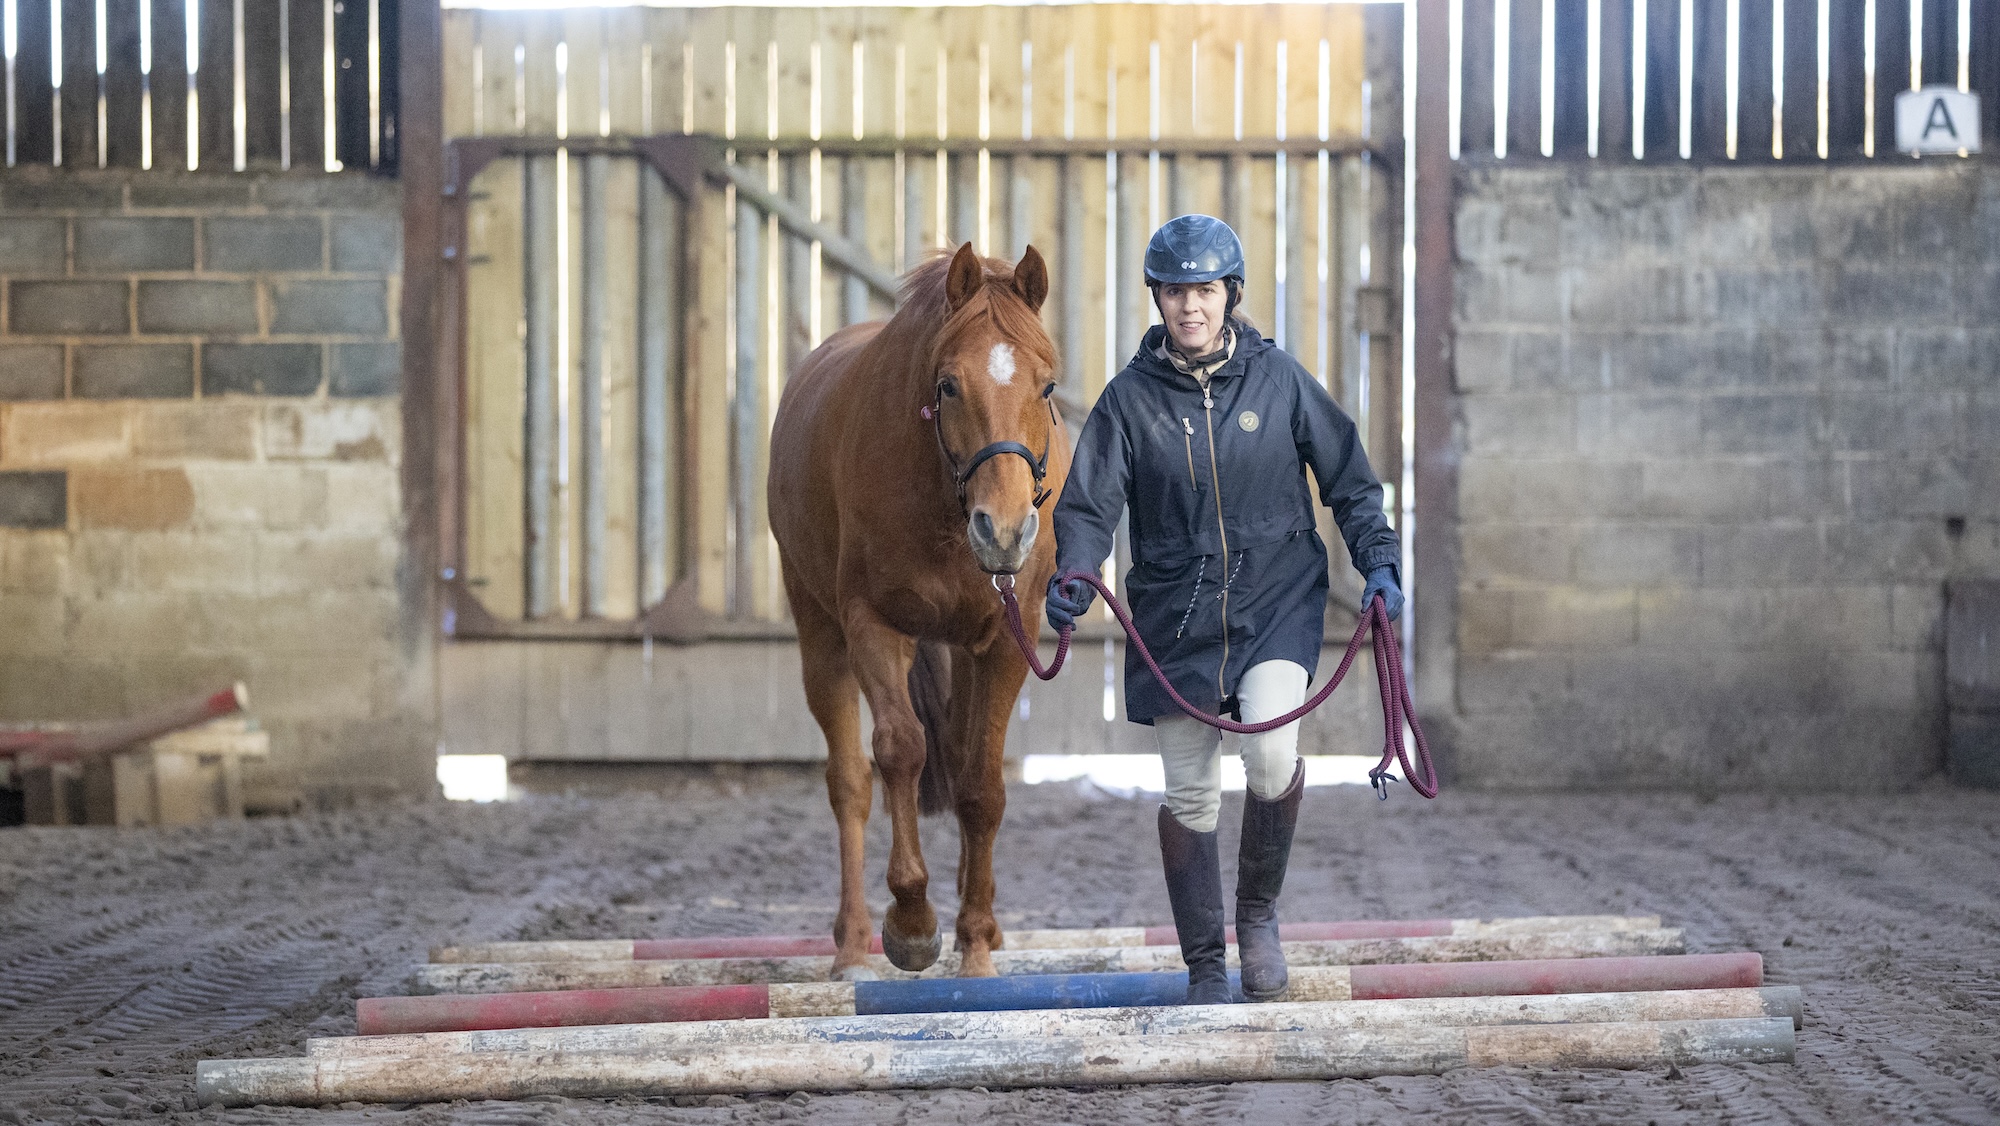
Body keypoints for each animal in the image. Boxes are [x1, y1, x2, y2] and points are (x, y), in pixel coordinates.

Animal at [767, 242, 1070, 979]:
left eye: (1047, 388)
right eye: (949, 386)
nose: (1004, 531)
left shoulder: (1004, 642)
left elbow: (980, 785)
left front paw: (976, 939)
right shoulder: (873, 627)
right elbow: (900, 750)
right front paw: (911, 922)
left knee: (958, 758)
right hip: (822, 635)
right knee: (850, 782)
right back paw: (852, 946)